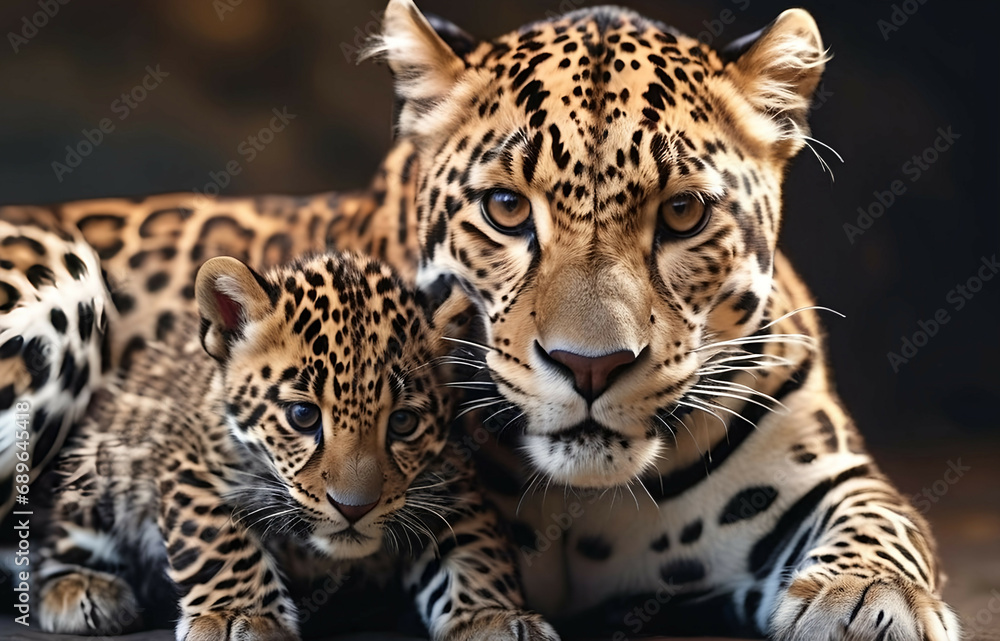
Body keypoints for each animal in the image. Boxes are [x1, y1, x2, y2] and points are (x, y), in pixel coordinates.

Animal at [35, 251, 557, 641]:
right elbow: (220, 543)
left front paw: (492, 618)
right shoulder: (190, 466)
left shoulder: (452, 485)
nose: (354, 508)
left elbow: (477, 554)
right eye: (302, 417)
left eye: (403, 422)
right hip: (99, 468)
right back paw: (82, 591)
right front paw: (238, 616)